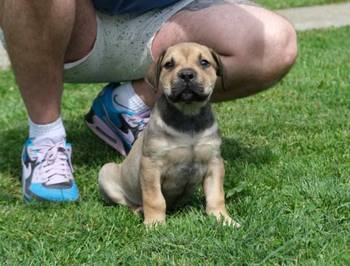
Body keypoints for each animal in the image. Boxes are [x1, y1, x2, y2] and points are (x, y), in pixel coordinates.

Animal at [98, 42, 241, 228]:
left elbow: (216, 195)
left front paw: (223, 219)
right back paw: (139, 210)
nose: (186, 74)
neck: (188, 115)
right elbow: (154, 199)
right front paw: (155, 224)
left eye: (204, 62)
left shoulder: (214, 163)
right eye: (169, 64)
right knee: (127, 202)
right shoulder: (151, 165)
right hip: (106, 172)